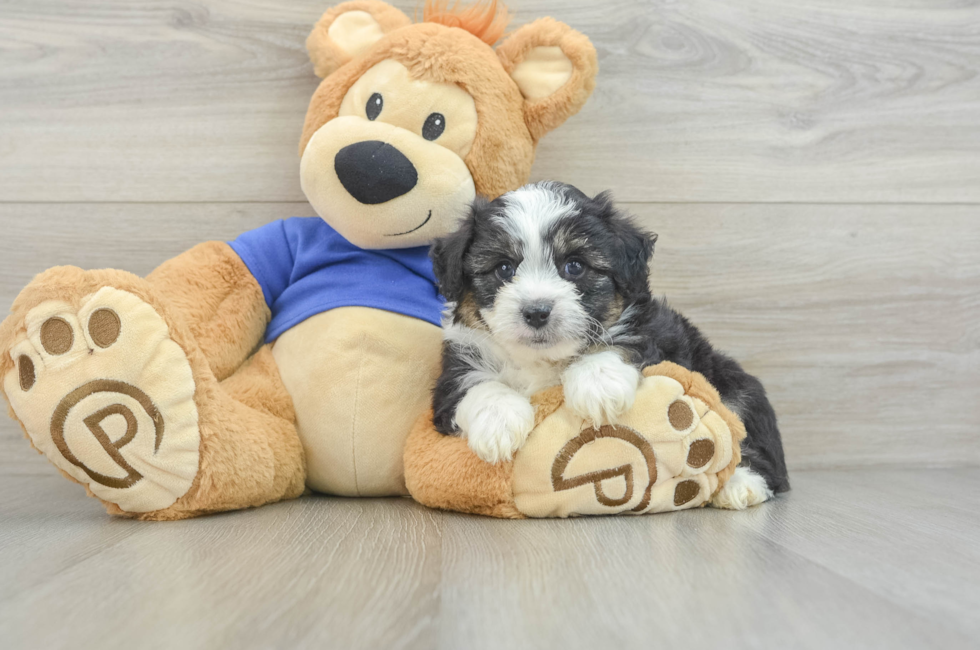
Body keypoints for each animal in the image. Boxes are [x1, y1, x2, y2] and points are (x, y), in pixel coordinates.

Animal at [428, 181, 788, 506]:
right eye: (504, 268)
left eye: (574, 266)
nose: (536, 311)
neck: (544, 361)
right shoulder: (454, 370)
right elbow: (477, 385)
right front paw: (498, 424)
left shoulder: (649, 333)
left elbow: (617, 344)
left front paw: (597, 387)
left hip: (737, 388)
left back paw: (741, 484)